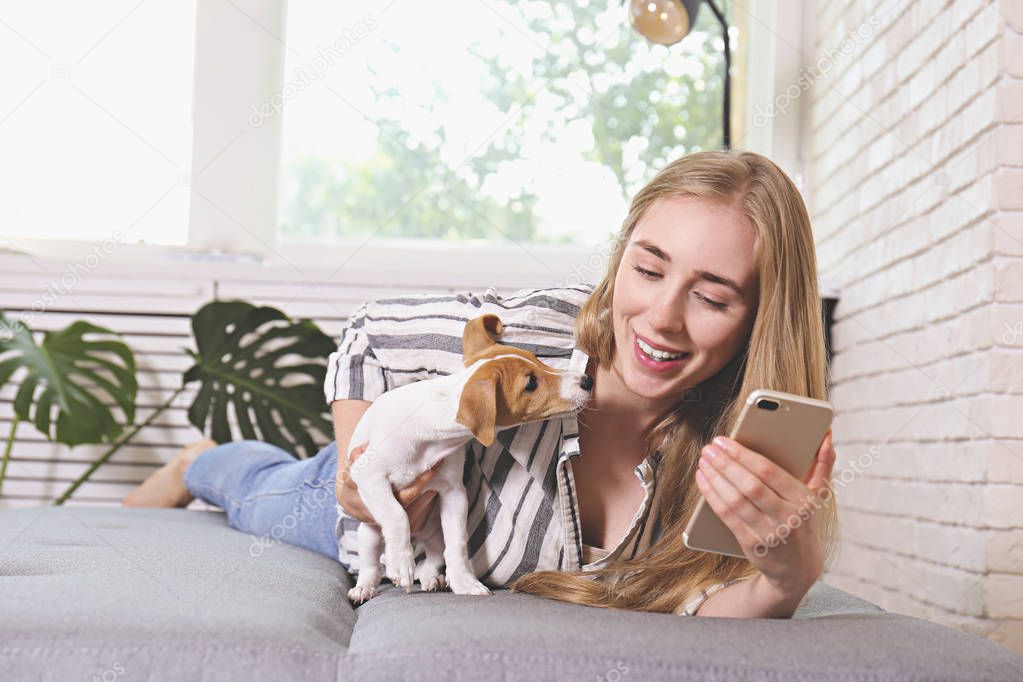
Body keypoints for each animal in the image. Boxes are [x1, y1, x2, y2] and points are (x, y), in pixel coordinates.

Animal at [343, 312, 593, 605]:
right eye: (531, 383)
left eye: (537, 359)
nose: (587, 381)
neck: (428, 433)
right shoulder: (368, 475)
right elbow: (396, 515)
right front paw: (402, 563)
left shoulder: (453, 493)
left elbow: (457, 544)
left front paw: (463, 581)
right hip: (369, 532)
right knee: (371, 563)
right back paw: (365, 587)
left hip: (434, 531)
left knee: (434, 555)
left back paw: (431, 578)